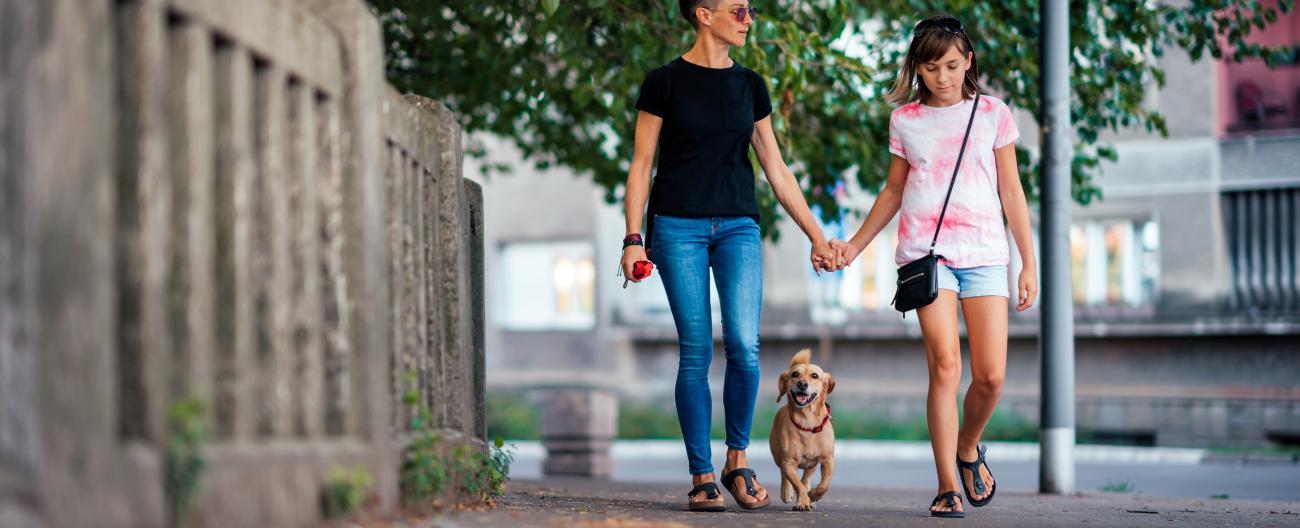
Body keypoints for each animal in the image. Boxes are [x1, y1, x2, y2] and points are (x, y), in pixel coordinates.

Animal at [764, 348, 837, 509]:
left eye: (814, 375)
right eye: (795, 374)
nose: (802, 384)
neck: (807, 422)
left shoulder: (828, 460)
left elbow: (824, 485)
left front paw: (813, 495)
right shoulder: (789, 462)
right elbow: (796, 483)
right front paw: (803, 501)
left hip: (812, 464)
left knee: (807, 477)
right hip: (778, 457)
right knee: (785, 475)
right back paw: (787, 492)